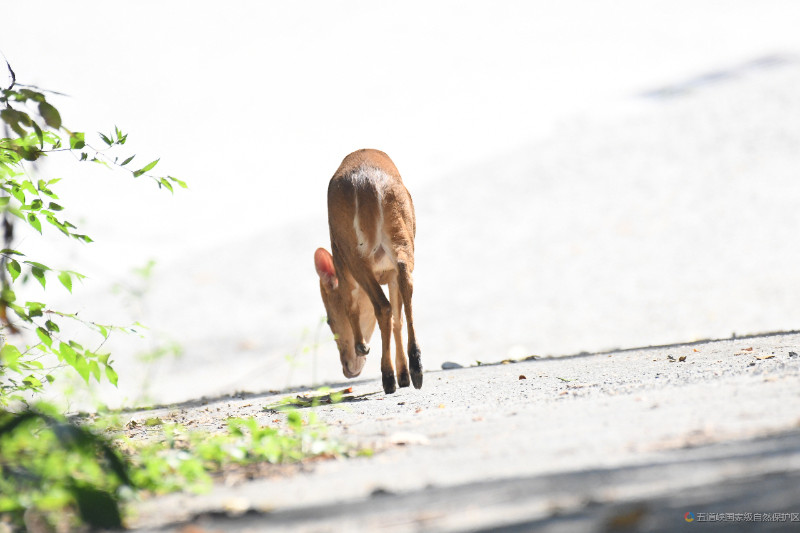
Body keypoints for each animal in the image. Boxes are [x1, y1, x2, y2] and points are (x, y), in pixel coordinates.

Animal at [314, 148, 424, 392]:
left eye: (329, 320)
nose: (347, 369)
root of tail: (370, 187)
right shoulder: (390, 273)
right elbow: (397, 319)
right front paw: (404, 375)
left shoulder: (343, 267)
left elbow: (352, 305)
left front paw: (362, 347)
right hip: (402, 237)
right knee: (406, 288)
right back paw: (415, 369)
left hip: (354, 254)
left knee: (382, 306)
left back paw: (388, 378)